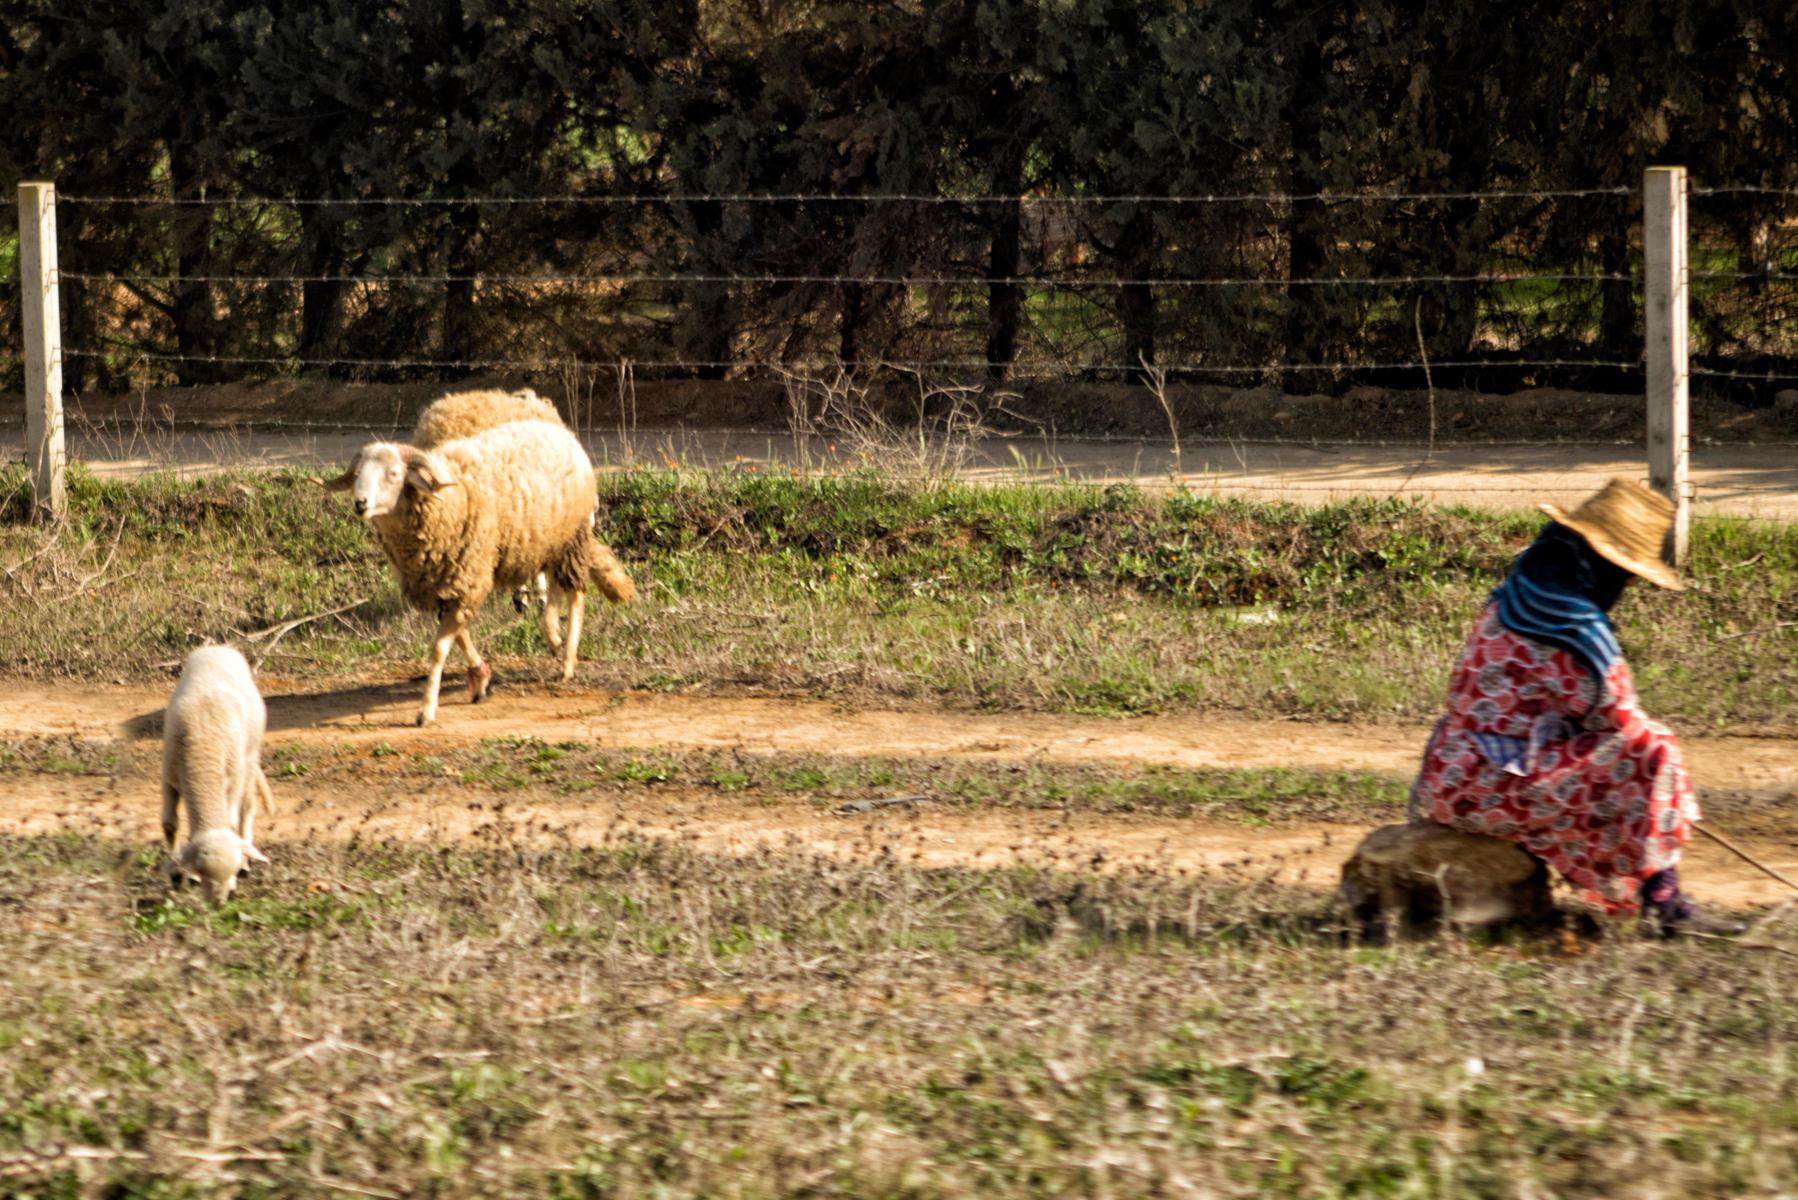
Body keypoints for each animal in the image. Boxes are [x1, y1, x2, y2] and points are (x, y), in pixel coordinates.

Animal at [163, 644, 273, 906]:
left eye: (231, 871)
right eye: (202, 871)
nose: (220, 903)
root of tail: (220, 647)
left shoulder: (232, 781)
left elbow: (231, 822)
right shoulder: (169, 777)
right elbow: (170, 825)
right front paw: (177, 872)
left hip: (249, 760)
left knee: (247, 807)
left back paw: (247, 858)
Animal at [320, 422, 636, 723]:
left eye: (394, 473)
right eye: (359, 473)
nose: (360, 503)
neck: (445, 501)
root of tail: (560, 432)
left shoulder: (466, 576)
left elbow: (440, 648)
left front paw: (426, 711)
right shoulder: (444, 582)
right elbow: (460, 636)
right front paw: (481, 678)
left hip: (573, 537)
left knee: (576, 595)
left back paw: (568, 663)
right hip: (547, 542)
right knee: (554, 587)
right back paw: (553, 636)